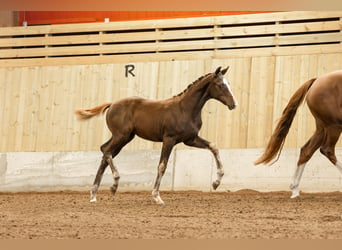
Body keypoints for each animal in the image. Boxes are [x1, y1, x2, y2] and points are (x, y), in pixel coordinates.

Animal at [75, 66, 236, 203]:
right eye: (220, 85)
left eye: (229, 84)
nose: (233, 104)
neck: (186, 109)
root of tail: (112, 104)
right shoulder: (169, 139)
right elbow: (162, 166)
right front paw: (156, 196)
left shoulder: (190, 139)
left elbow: (213, 147)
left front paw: (216, 183)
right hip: (121, 135)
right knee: (106, 151)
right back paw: (113, 184)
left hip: (125, 137)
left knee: (104, 152)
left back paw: (94, 194)